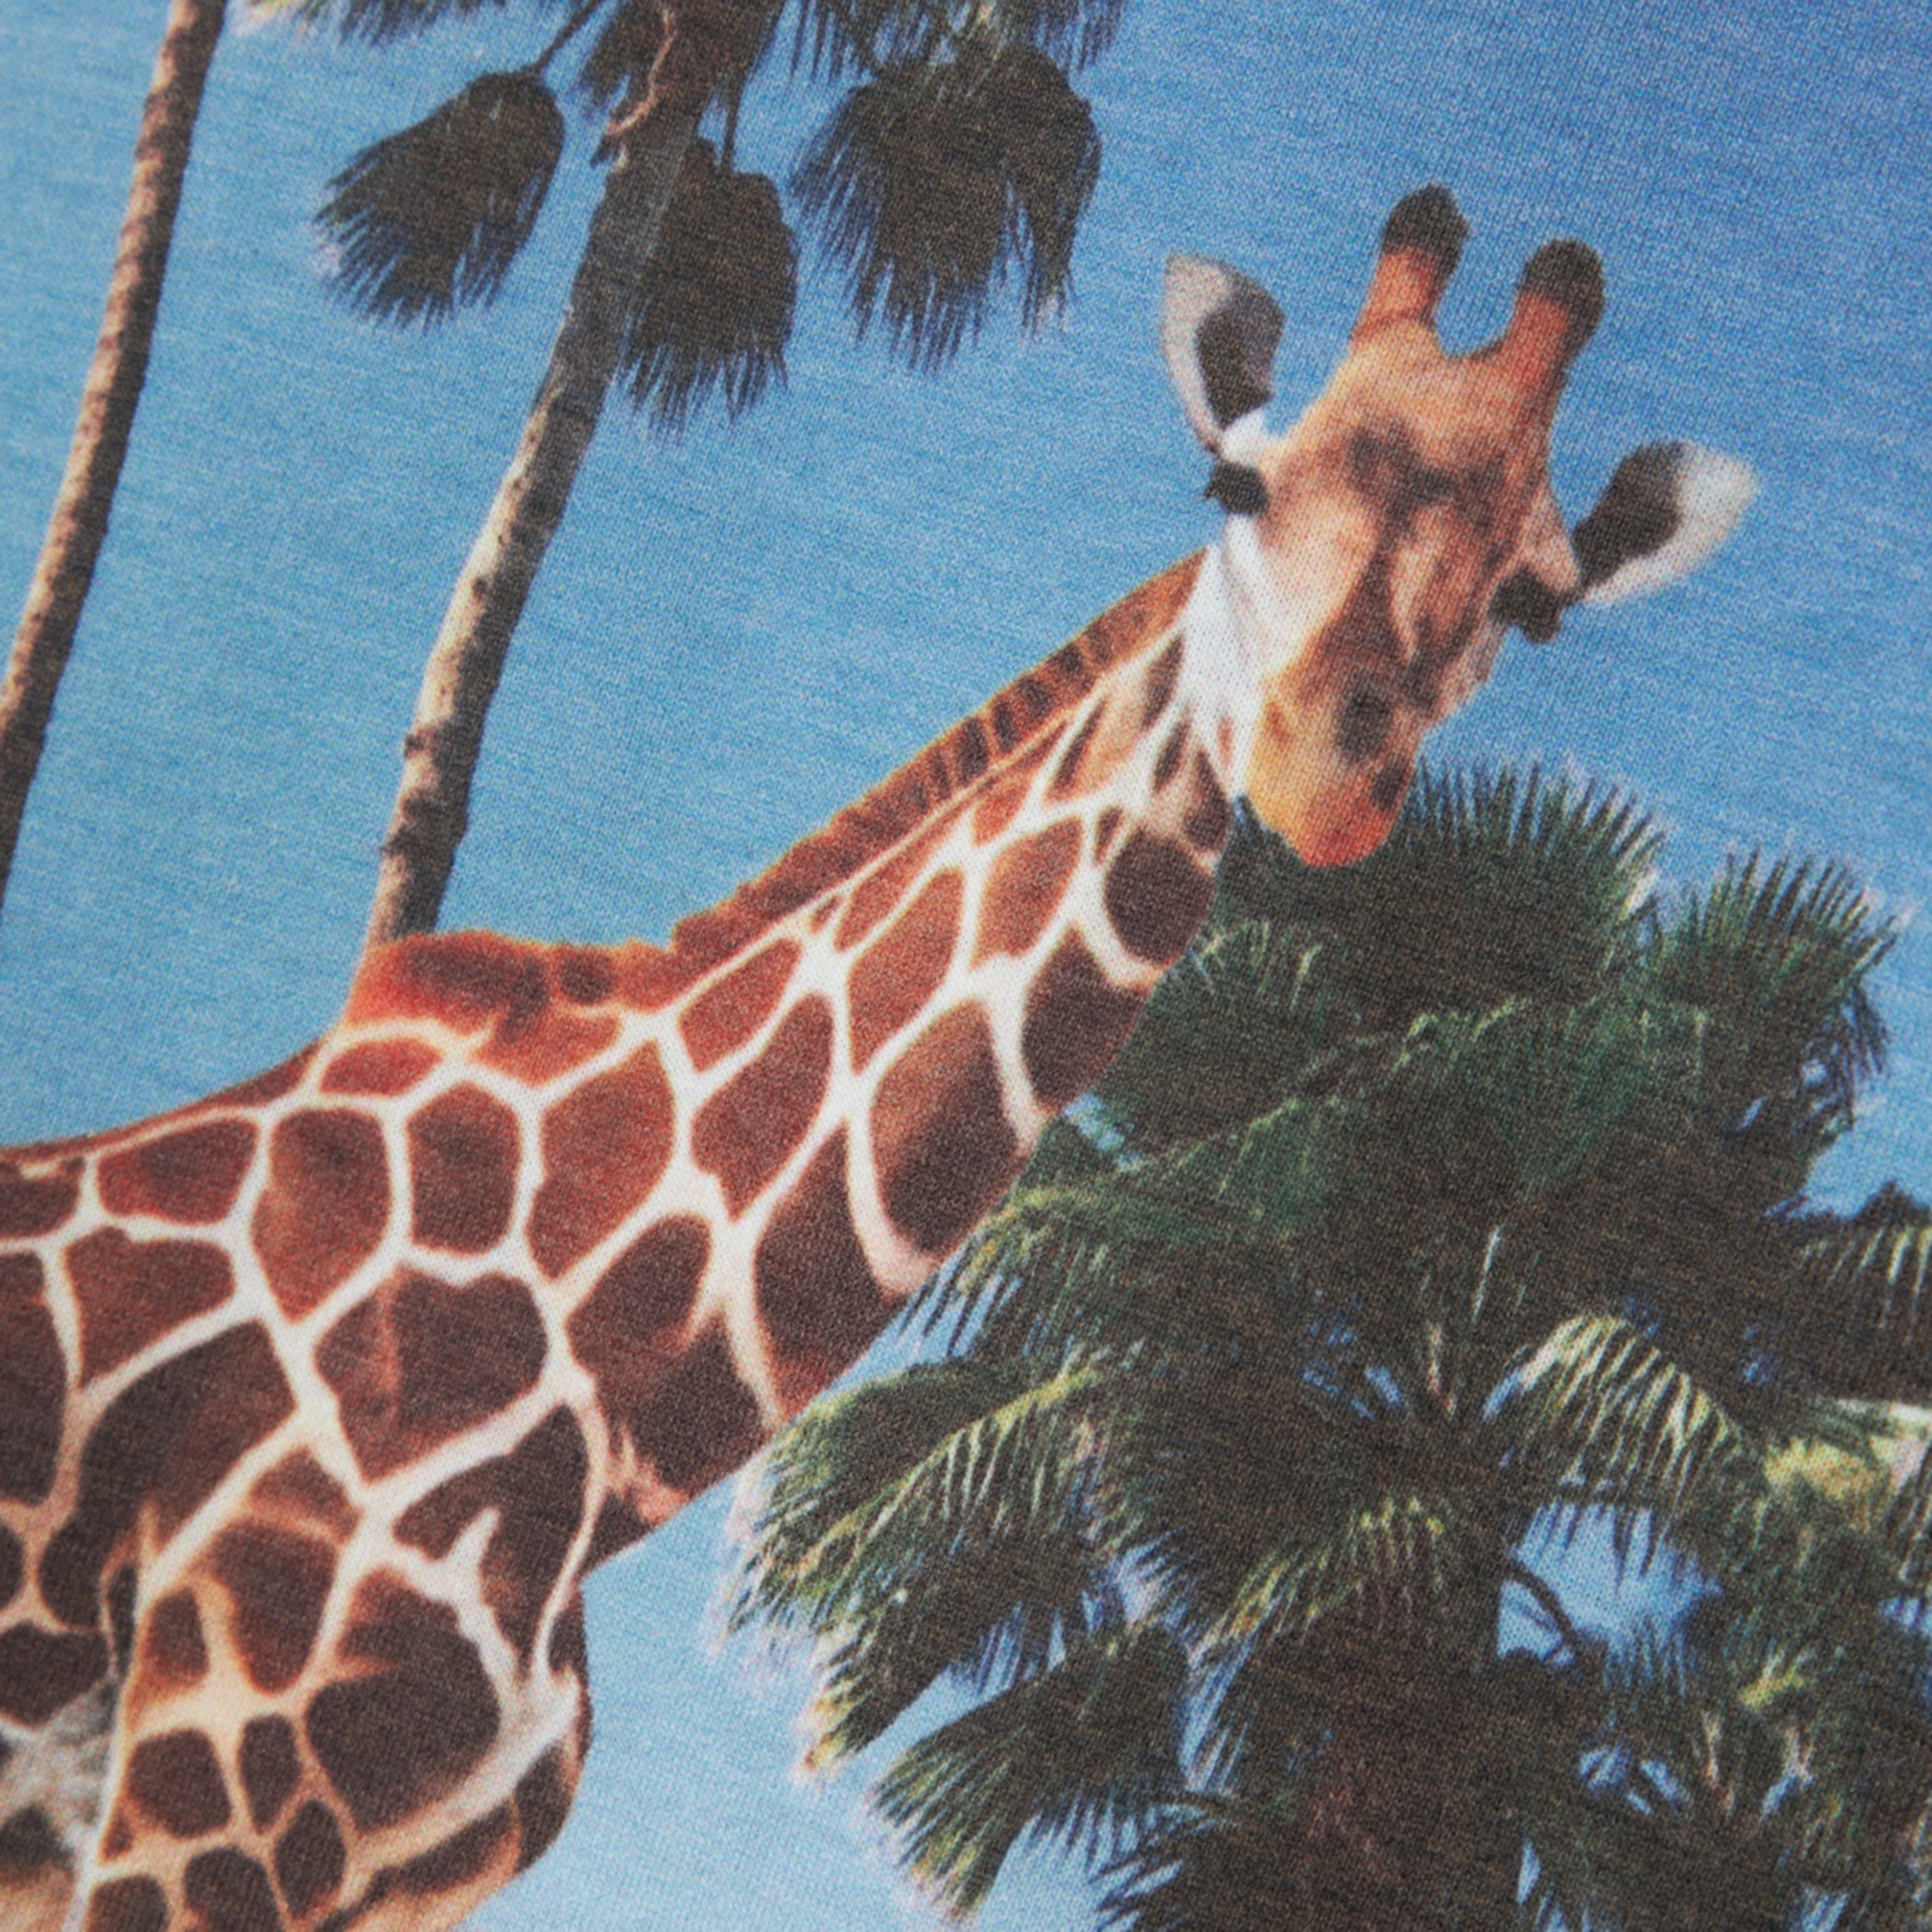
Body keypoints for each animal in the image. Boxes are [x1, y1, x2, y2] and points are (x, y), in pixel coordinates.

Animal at [0, 188, 1752, 1932]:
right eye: (1237, 483)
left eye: (1535, 603)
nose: (1324, 768)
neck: (606, 1361)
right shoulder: (199, 1798)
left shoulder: (380, 1865)